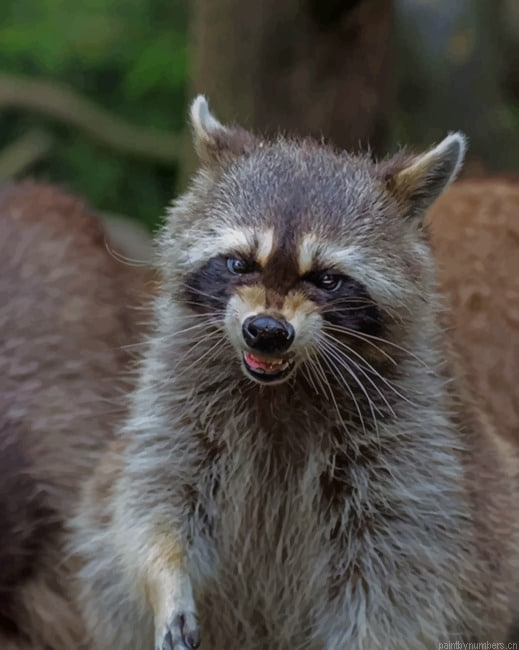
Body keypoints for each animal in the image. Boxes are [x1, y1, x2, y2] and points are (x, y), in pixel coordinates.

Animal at [70, 97, 519, 650]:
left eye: (326, 278)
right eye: (240, 263)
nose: (266, 332)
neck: (284, 384)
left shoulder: (410, 449)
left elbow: (397, 577)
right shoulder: (175, 404)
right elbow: (153, 502)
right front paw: (166, 576)